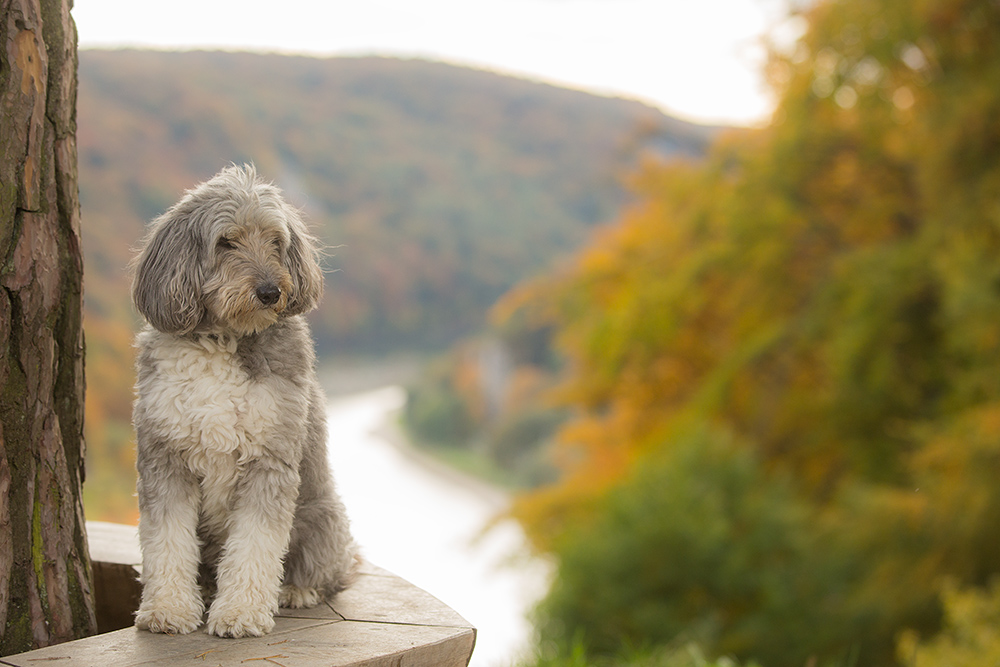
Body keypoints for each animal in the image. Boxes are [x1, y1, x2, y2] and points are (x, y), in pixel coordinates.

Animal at [128, 164, 356, 640]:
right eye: (226, 242)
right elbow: (166, 541)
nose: (271, 291)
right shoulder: (164, 459)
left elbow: (255, 545)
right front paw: (169, 609)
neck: (223, 338)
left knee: (328, 575)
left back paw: (295, 591)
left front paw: (240, 613)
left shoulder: (268, 461)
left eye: (275, 241)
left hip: (322, 517)